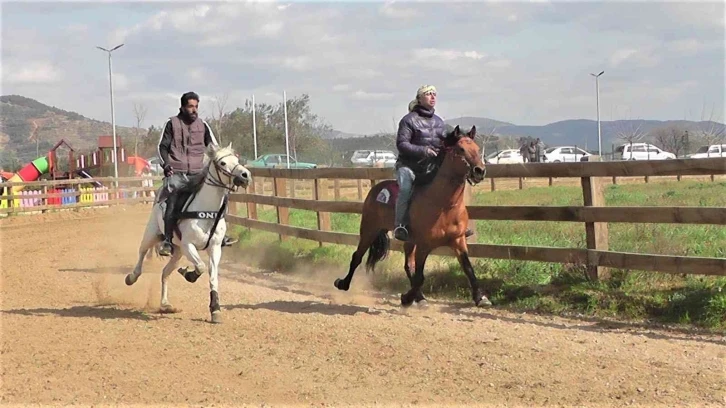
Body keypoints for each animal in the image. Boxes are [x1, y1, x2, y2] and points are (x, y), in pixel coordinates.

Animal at [123, 142, 252, 324]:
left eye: (237, 159)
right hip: (151, 235)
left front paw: (215, 309)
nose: (245, 175)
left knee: (165, 273)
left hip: (177, 252)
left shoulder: (214, 247)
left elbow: (212, 276)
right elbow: (200, 266)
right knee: (141, 254)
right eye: (222, 163)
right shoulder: (188, 245)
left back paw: (165, 304)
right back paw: (131, 277)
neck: (206, 210)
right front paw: (189, 274)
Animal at [332, 126, 492, 308]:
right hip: (369, 230)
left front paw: (481, 298)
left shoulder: (457, 240)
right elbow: (419, 277)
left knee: (408, 265)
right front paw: (406, 298)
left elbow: (468, 269)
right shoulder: (424, 245)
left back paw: (420, 297)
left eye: (477, 149)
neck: (443, 205)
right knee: (357, 256)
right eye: (461, 149)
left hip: (408, 241)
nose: (479, 171)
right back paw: (342, 283)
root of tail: (377, 189)